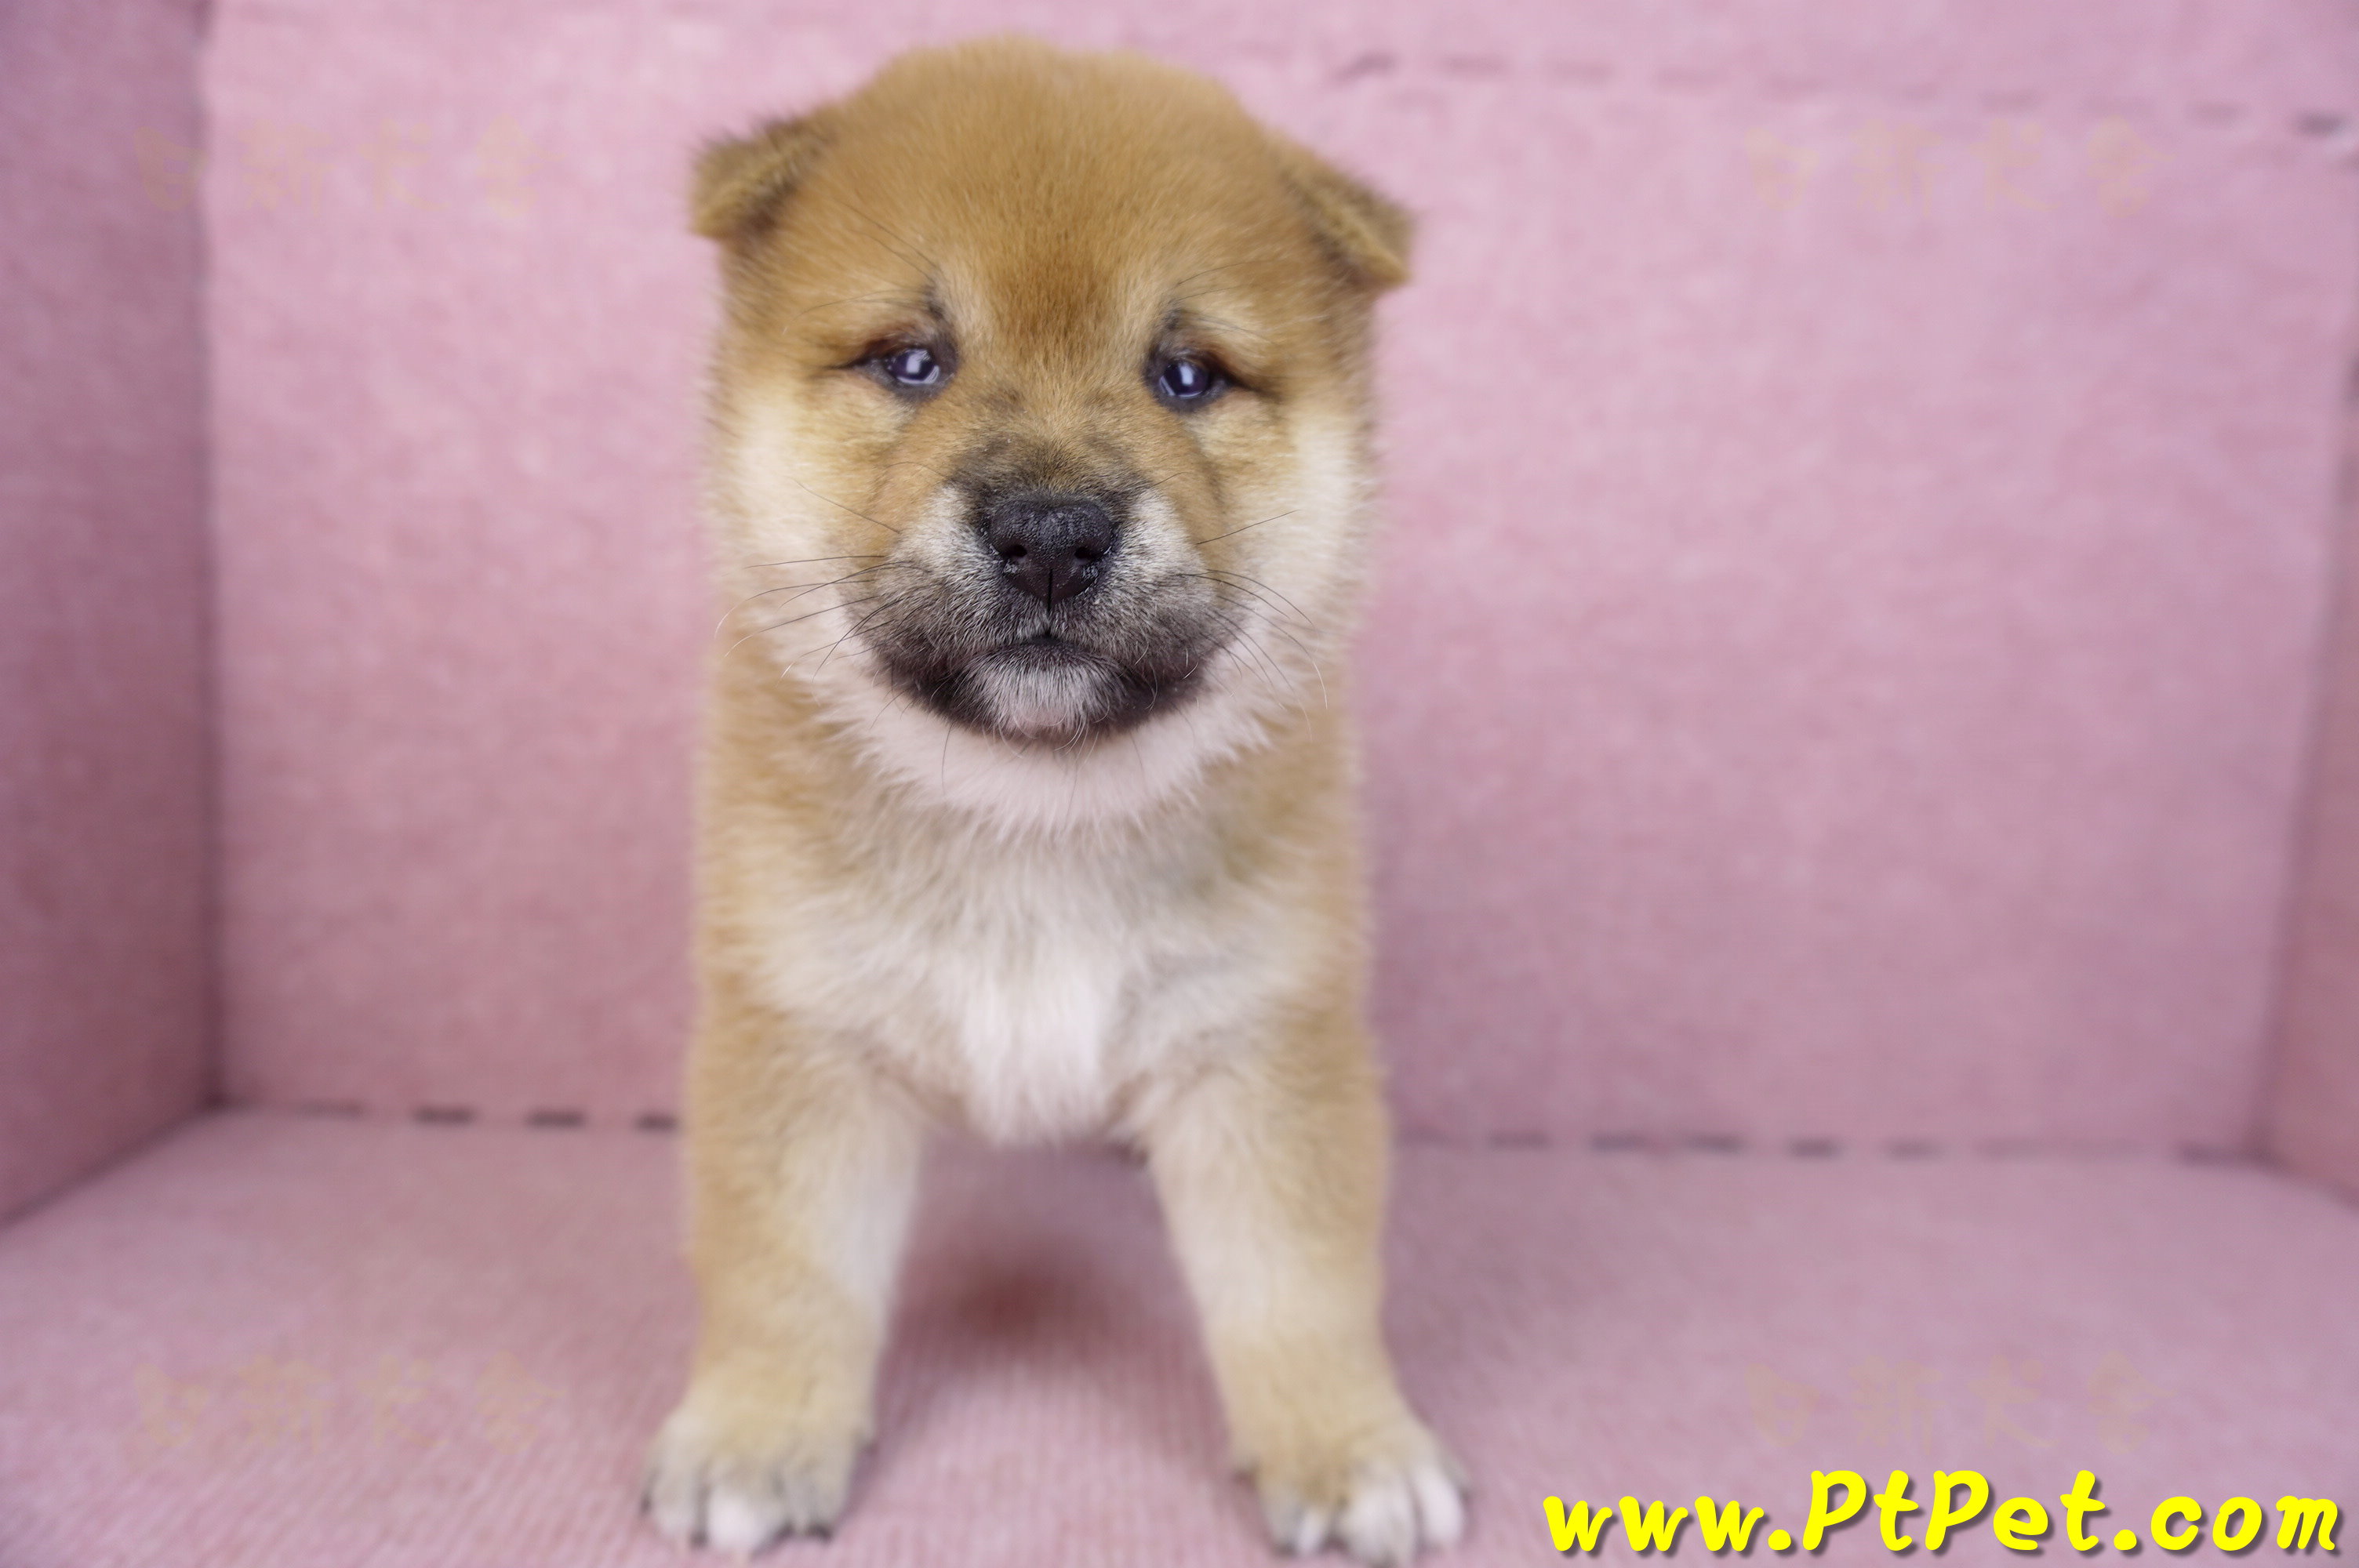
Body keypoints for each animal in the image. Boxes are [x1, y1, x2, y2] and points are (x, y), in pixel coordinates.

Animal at [642, 37, 1465, 1564]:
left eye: (1186, 373)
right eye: (914, 361)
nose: (1049, 532)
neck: (1036, 812)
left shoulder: (1257, 1041)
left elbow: (1298, 1282)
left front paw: (1347, 1448)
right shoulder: (806, 1031)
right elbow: (788, 1269)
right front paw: (755, 1433)